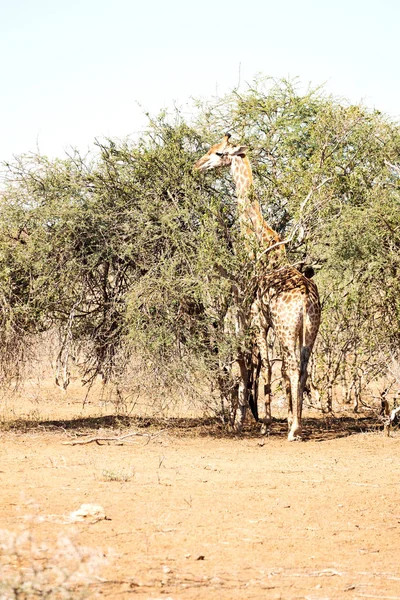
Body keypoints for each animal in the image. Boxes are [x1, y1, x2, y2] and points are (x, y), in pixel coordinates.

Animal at [192, 134, 320, 440]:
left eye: (219, 153)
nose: (196, 165)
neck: (260, 243)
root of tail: (307, 299)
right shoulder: (267, 324)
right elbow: (275, 370)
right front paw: (283, 418)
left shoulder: (259, 320)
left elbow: (266, 369)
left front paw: (266, 423)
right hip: (311, 330)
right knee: (303, 368)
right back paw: (297, 424)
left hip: (287, 328)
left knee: (293, 367)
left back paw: (293, 430)